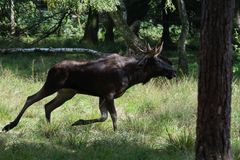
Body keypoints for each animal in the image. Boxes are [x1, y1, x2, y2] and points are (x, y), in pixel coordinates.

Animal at [2, 42, 176, 131]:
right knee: (31, 98)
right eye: (156, 60)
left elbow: (103, 116)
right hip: (52, 84)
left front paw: (77, 122)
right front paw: (116, 134)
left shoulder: (102, 95)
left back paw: (49, 128)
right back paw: (10, 125)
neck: (131, 76)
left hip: (67, 92)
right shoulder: (109, 93)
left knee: (48, 106)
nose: (173, 71)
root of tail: (51, 68)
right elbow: (113, 116)